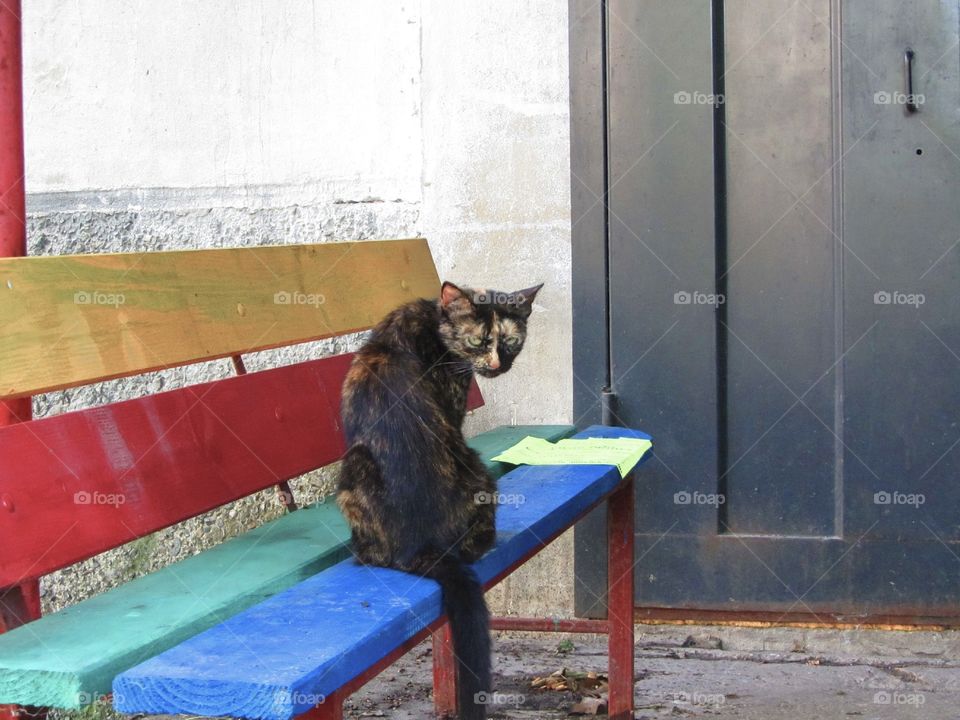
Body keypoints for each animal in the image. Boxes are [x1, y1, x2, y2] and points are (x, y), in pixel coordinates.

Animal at [342, 282, 544, 720]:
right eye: (478, 341)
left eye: (511, 343)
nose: (497, 365)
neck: (434, 322)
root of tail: (422, 545)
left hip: (354, 466)